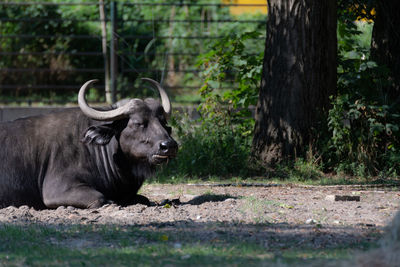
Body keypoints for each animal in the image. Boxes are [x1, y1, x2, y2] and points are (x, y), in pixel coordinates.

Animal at [0, 78, 178, 210]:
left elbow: (144, 199)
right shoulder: (58, 190)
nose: (169, 146)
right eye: (138, 123)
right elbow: (101, 198)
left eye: (164, 123)